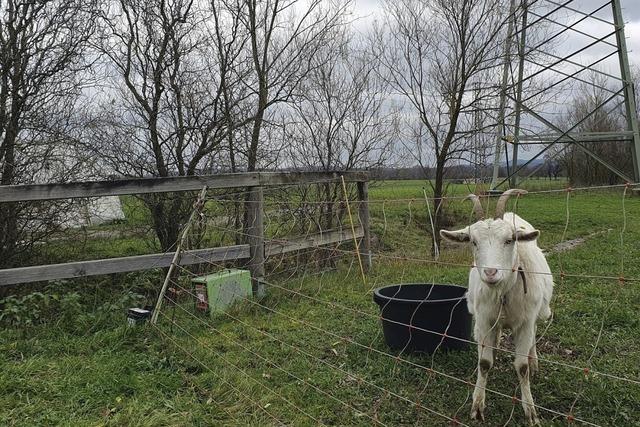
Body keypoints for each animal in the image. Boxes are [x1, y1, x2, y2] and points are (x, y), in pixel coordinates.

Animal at [442, 190, 552, 424]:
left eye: (509, 240)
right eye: (473, 242)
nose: (491, 273)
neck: (503, 292)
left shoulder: (525, 323)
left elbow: (522, 367)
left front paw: (531, 411)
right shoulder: (484, 321)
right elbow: (484, 363)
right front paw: (477, 406)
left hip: (537, 314)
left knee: (534, 335)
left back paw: (534, 362)